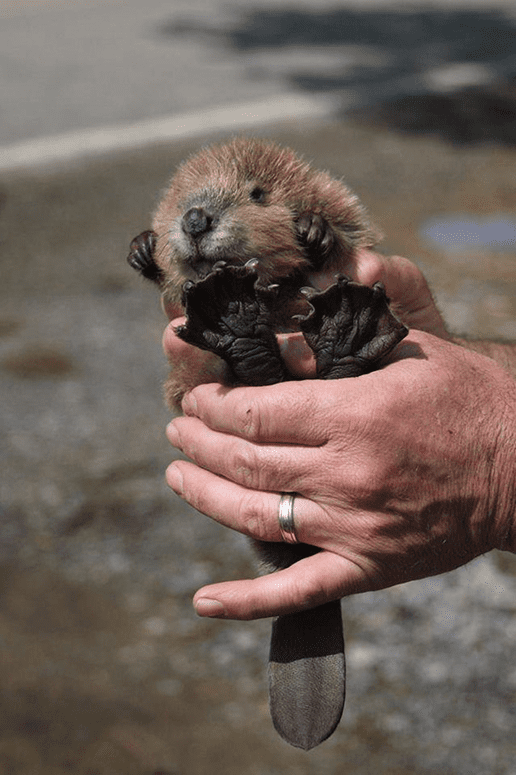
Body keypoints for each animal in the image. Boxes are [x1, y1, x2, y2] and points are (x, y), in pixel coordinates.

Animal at [126, 136, 408, 748]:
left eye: (257, 193)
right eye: (180, 195)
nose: (195, 219)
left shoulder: (346, 208)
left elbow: (351, 227)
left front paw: (314, 230)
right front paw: (143, 248)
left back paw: (345, 326)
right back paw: (237, 320)